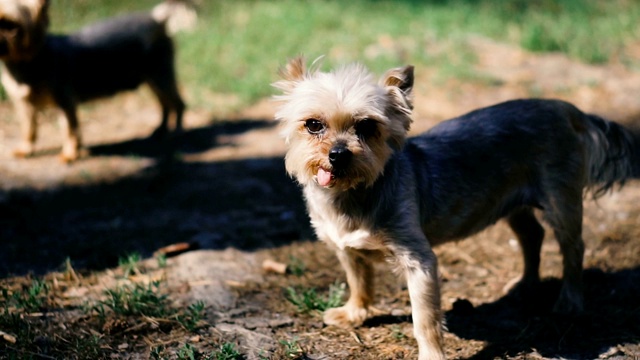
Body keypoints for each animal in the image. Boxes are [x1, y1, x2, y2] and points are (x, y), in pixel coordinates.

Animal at [0, 0, 195, 162]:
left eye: (11, 26)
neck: (27, 64)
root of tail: (157, 18)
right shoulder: (24, 105)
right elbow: (28, 129)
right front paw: (25, 150)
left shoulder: (66, 101)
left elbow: (70, 130)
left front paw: (70, 154)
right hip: (152, 80)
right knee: (165, 104)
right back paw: (161, 129)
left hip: (161, 75)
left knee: (178, 103)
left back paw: (177, 132)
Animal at [274, 57, 640, 358]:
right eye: (313, 124)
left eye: (366, 126)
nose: (338, 154)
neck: (351, 195)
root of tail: (567, 109)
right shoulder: (346, 249)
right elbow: (359, 281)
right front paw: (353, 313)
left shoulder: (418, 260)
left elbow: (425, 319)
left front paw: (431, 355)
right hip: (511, 202)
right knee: (531, 235)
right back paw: (525, 284)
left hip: (560, 199)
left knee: (573, 246)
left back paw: (570, 301)